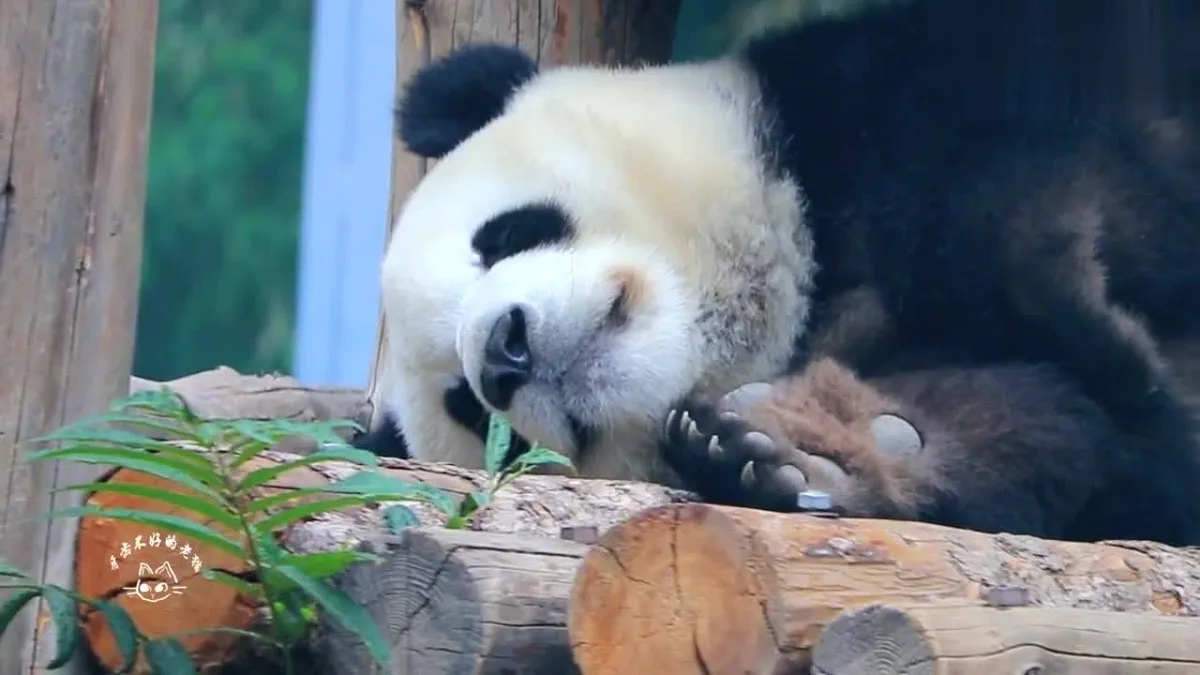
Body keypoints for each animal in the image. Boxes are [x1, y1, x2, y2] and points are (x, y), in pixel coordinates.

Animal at [355, 0, 1200, 545]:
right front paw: (815, 451)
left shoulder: (876, 100)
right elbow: (1061, 435)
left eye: (503, 236)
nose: (504, 353)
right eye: (471, 409)